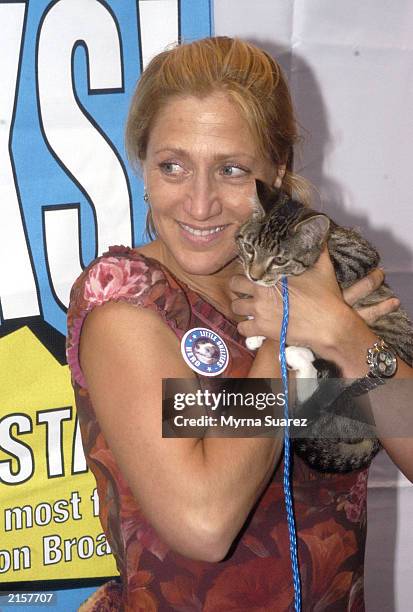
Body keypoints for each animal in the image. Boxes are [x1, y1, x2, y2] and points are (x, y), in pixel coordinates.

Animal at [235, 179, 412, 470]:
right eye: (250, 248)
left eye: (279, 259)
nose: (254, 275)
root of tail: (373, 443)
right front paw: (254, 330)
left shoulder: (358, 252)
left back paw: (297, 356)